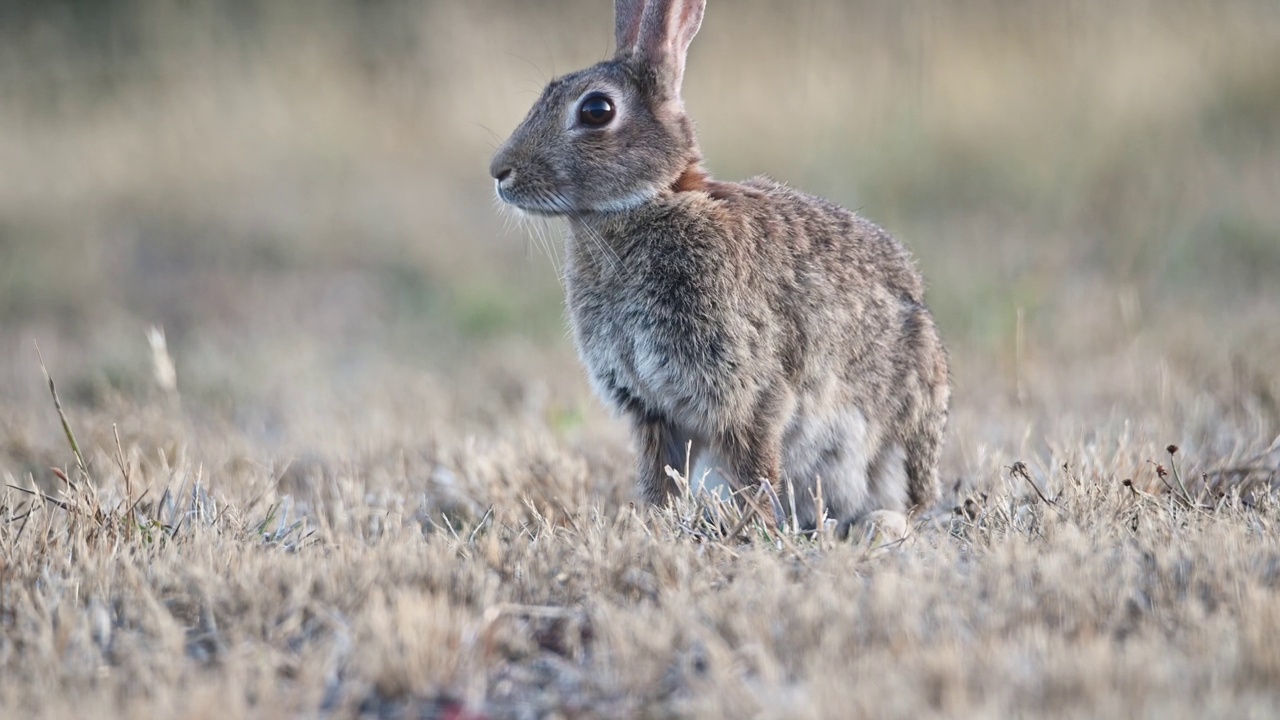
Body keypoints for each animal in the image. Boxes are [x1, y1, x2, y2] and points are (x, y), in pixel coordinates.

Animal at [488, 0, 952, 527]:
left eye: (596, 110)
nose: (500, 171)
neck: (652, 200)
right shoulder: (651, 409)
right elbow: (660, 474)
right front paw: (656, 522)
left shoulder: (747, 391)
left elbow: (754, 466)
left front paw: (756, 527)